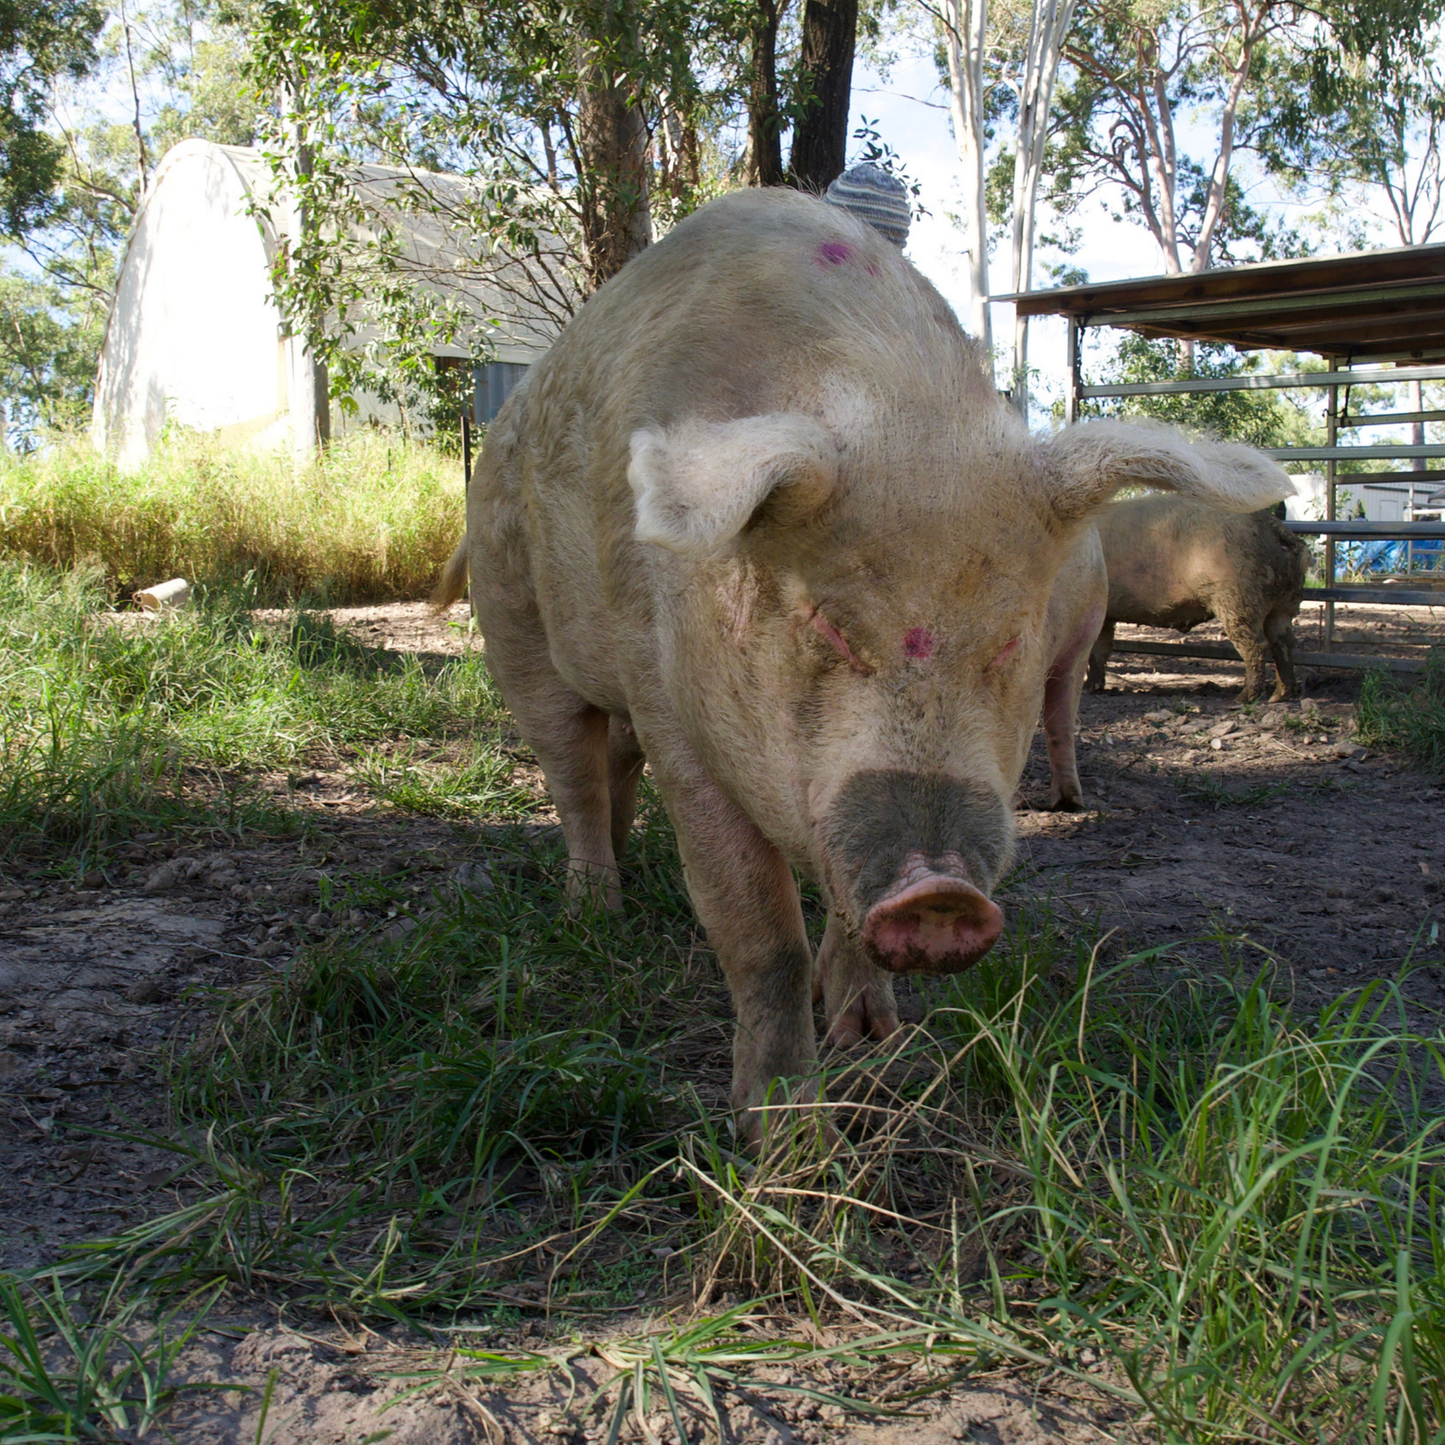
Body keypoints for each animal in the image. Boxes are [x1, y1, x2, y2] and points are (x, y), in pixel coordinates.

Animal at [1085, 495, 1308, 702]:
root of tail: (1272, 526)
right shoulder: (1104, 616)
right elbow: (1099, 650)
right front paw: (1092, 689)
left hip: (1238, 599)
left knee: (1257, 645)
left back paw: (1243, 698)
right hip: (1284, 603)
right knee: (1284, 642)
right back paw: (1279, 696)